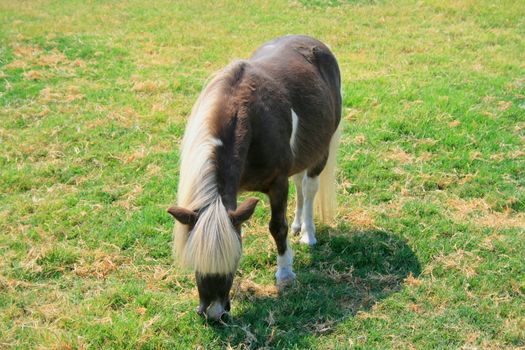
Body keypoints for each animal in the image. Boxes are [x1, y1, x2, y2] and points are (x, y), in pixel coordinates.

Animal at [166, 34, 342, 320]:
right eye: (195, 259)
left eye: (234, 258)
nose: (213, 314)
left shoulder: (277, 184)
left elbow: (277, 227)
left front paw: (285, 273)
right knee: (300, 184)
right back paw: (298, 225)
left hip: (321, 152)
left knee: (309, 187)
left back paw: (307, 233)